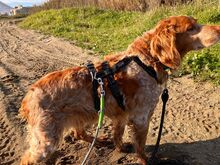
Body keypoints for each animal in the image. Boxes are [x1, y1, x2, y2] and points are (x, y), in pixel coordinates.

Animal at [19, 15, 220, 164]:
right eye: (191, 28)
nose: (219, 29)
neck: (147, 60)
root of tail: (28, 97)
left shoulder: (121, 115)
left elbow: (118, 135)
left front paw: (121, 148)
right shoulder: (141, 117)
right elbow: (140, 145)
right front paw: (144, 159)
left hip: (83, 114)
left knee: (78, 132)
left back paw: (98, 140)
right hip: (46, 141)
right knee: (28, 159)